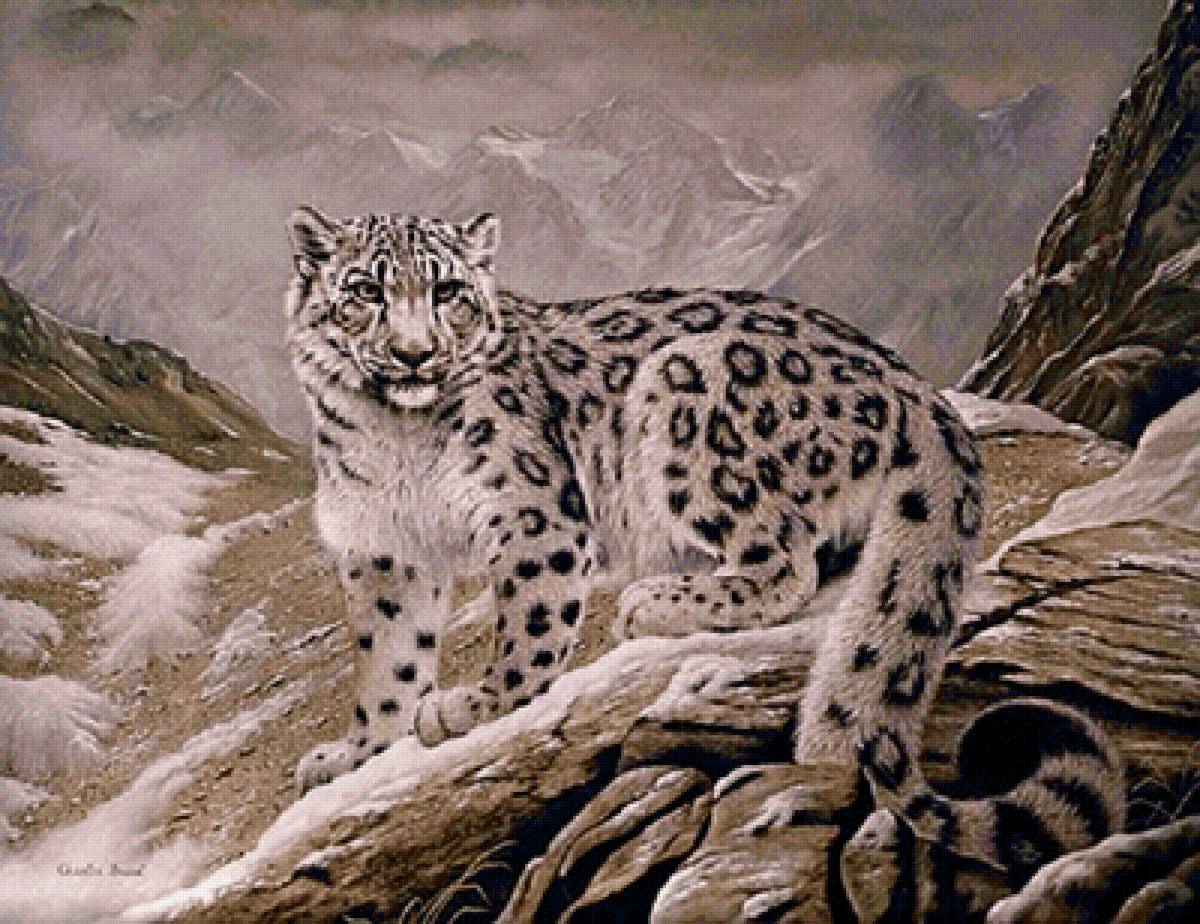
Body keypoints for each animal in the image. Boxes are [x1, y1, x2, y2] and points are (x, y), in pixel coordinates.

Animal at [284, 207, 1123, 906]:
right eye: (364, 290)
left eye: (449, 290)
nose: (413, 353)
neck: (393, 437)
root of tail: (916, 387)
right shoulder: (383, 552)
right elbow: (389, 659)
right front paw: (362, 749)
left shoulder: (534, 518)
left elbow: (529, 630)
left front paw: (476, 706)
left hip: (693, 398)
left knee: (786, 562)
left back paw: (654, 603)